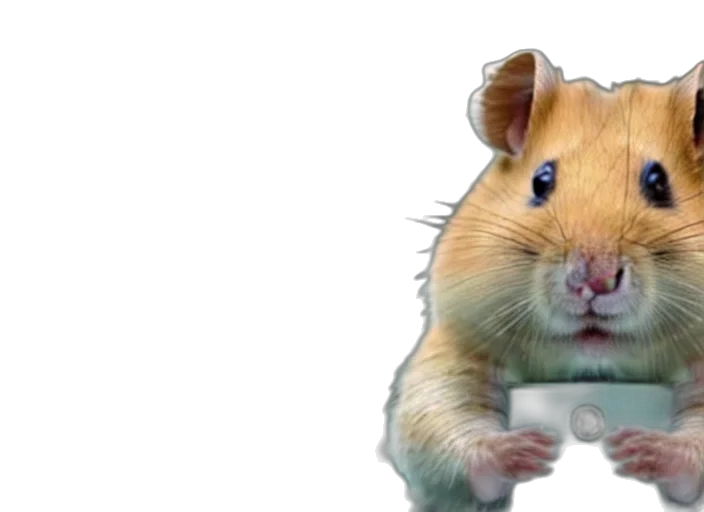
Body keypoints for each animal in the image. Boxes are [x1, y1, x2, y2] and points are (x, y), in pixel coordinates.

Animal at [384, 50, 704, 512]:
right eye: (541, 181)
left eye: (658, 183)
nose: (594, 281)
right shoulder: (455, 353)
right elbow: (439, 424)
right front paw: (530, 449)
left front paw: (639, 449)